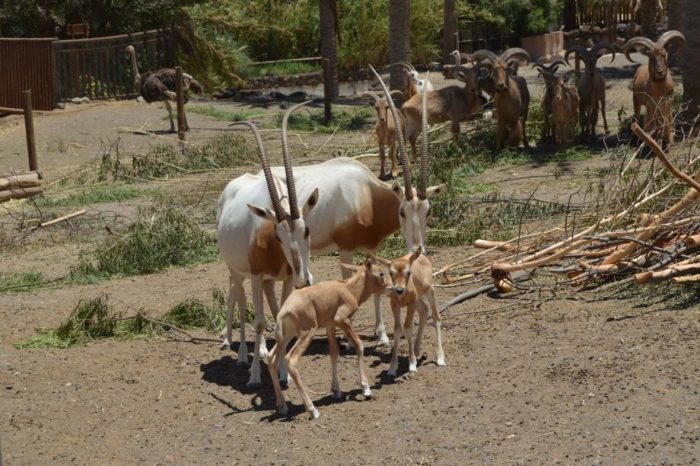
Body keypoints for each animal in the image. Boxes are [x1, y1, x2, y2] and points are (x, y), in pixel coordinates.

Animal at [216, 103, 320, 390]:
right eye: (278, 236)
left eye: (306, 230)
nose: (305, 279)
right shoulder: (256, 274)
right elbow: (261, 321)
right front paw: (253, 376)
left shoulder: (285, 277)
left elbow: (279, 318)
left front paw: (284, 373)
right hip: (239, 272)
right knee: (239, 301)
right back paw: (242, 354)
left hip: (269, 281)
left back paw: (262, 351)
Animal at [268, 258, 388, 418]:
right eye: (381, 273)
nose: (393, 288)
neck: (348, 289)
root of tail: (284, 310)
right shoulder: (342, 320)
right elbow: (359, 344)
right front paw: (366, 388)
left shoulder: (330, 325)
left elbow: (334, 352)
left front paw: (336, 390)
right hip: (307, 332)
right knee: (291, 359)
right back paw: (312, 410)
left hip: (286, 336)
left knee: (271, 358)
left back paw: (282, 406)